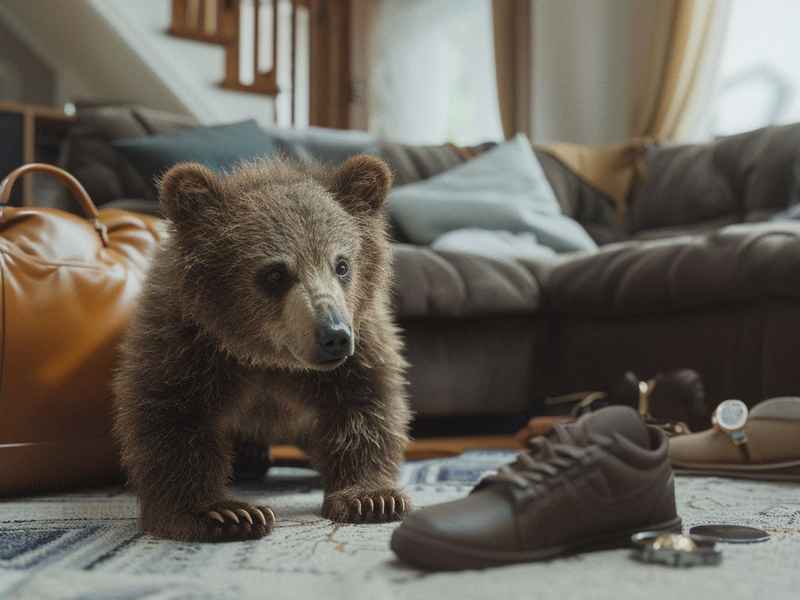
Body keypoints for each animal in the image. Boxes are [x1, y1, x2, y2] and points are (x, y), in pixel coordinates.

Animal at [112, 154, 411, 542]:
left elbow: (365, 406)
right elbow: (172, 417)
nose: (334, 335)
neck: (267, 356)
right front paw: (225, 512)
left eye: (342, 264)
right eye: (275, 274)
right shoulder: (190, 345)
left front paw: (372, 498)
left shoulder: (359, 348)